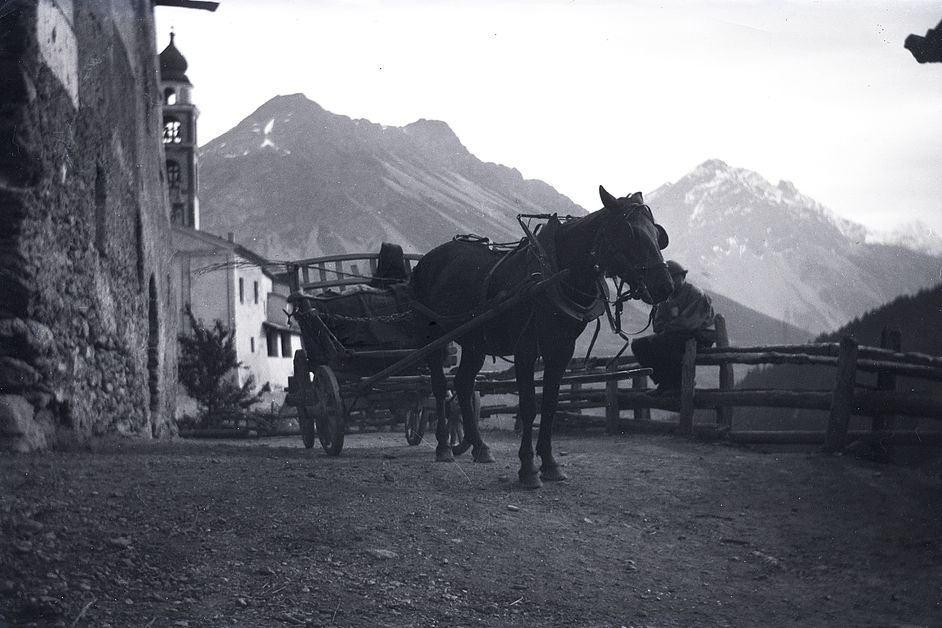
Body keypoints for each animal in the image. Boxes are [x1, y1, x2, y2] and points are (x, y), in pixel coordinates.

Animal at [412, 186, 680, 490]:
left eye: (657, 233)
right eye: (629, 233)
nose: (665, 286)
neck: (553, 274)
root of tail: (425, 260)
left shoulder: (561, 350)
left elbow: (550, 405)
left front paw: (550, 464)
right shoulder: (526, 349)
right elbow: (529, 405)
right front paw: (528, 468)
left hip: (474, 342)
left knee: (463, 384)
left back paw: (480, 447)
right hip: (433, 337)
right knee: (438, 386)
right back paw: (444, 446)